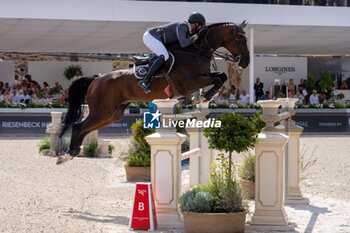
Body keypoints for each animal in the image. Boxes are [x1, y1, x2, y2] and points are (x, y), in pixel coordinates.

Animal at [57, 21, 249, 164]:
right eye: (240, 38)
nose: (245, 62)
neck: (196, 51)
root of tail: (96, 79)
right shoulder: (190, 82)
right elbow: (218, 79)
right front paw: (204, 96)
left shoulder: (202, 77)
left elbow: (221, 76)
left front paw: (205, 96)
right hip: (102, 111)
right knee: (79, 126)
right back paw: (67, 154)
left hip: (112, 115)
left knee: (85, 128)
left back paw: (71, 153)